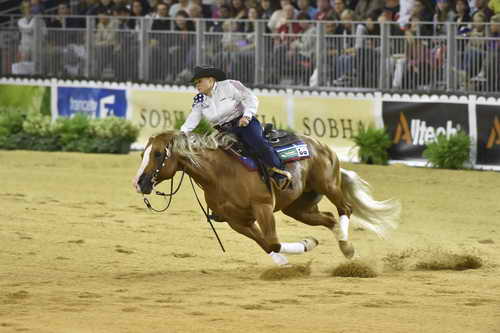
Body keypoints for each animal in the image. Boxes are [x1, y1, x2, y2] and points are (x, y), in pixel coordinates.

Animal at [134, 130, 402, 264]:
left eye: (158, 154)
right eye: (142, 154)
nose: (140, 183)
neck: (220, 173)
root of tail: (321, 145)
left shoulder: (262, 208)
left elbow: (272, 242)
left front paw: (305, 245)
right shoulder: (236, 221)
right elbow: (265, 244)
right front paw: (290, 258)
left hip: (328, 185)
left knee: (345, 209)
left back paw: (347, 247)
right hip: (298, 208)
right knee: (329, 218)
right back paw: (346, 249)